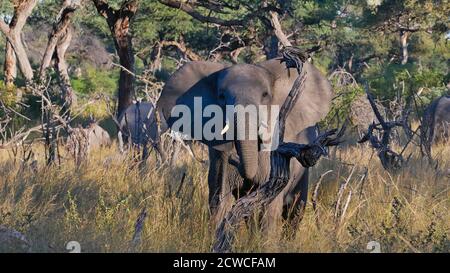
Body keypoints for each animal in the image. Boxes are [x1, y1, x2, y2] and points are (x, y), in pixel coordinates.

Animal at [156, 58, 332, 232]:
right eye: (221, 96)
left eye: (265, 95)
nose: (234, 157)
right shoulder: (219, 159)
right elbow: (220, 202)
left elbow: (269, 208)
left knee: (294, 212)